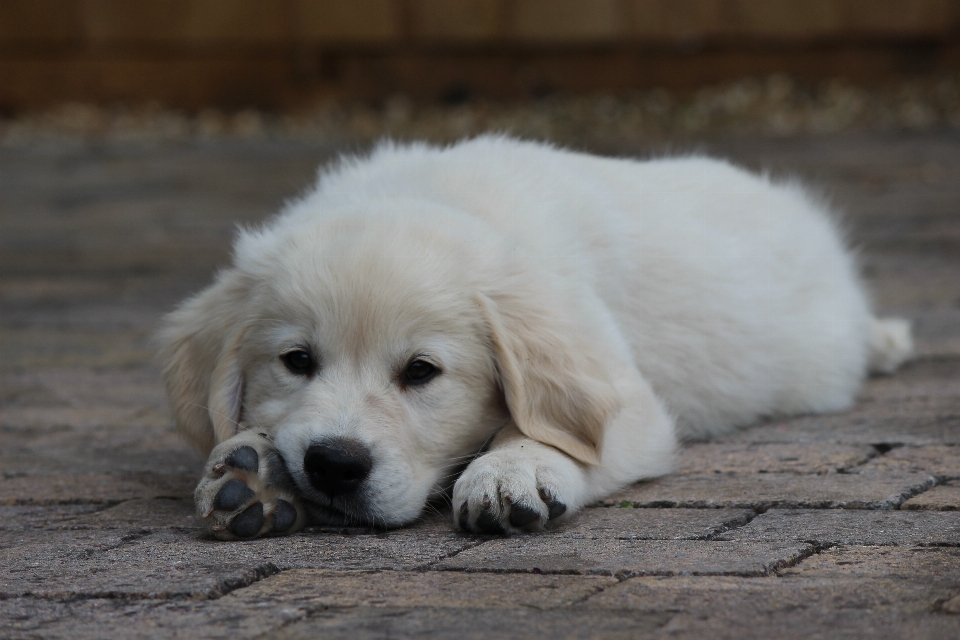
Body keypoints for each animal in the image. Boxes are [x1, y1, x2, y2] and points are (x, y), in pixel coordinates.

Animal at [156, 136, 908, 540]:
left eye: (422, 372)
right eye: (296, 361)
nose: (334, 465)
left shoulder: (632, 402)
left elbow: (551, 428)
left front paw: (512, 469)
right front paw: (253, 470)